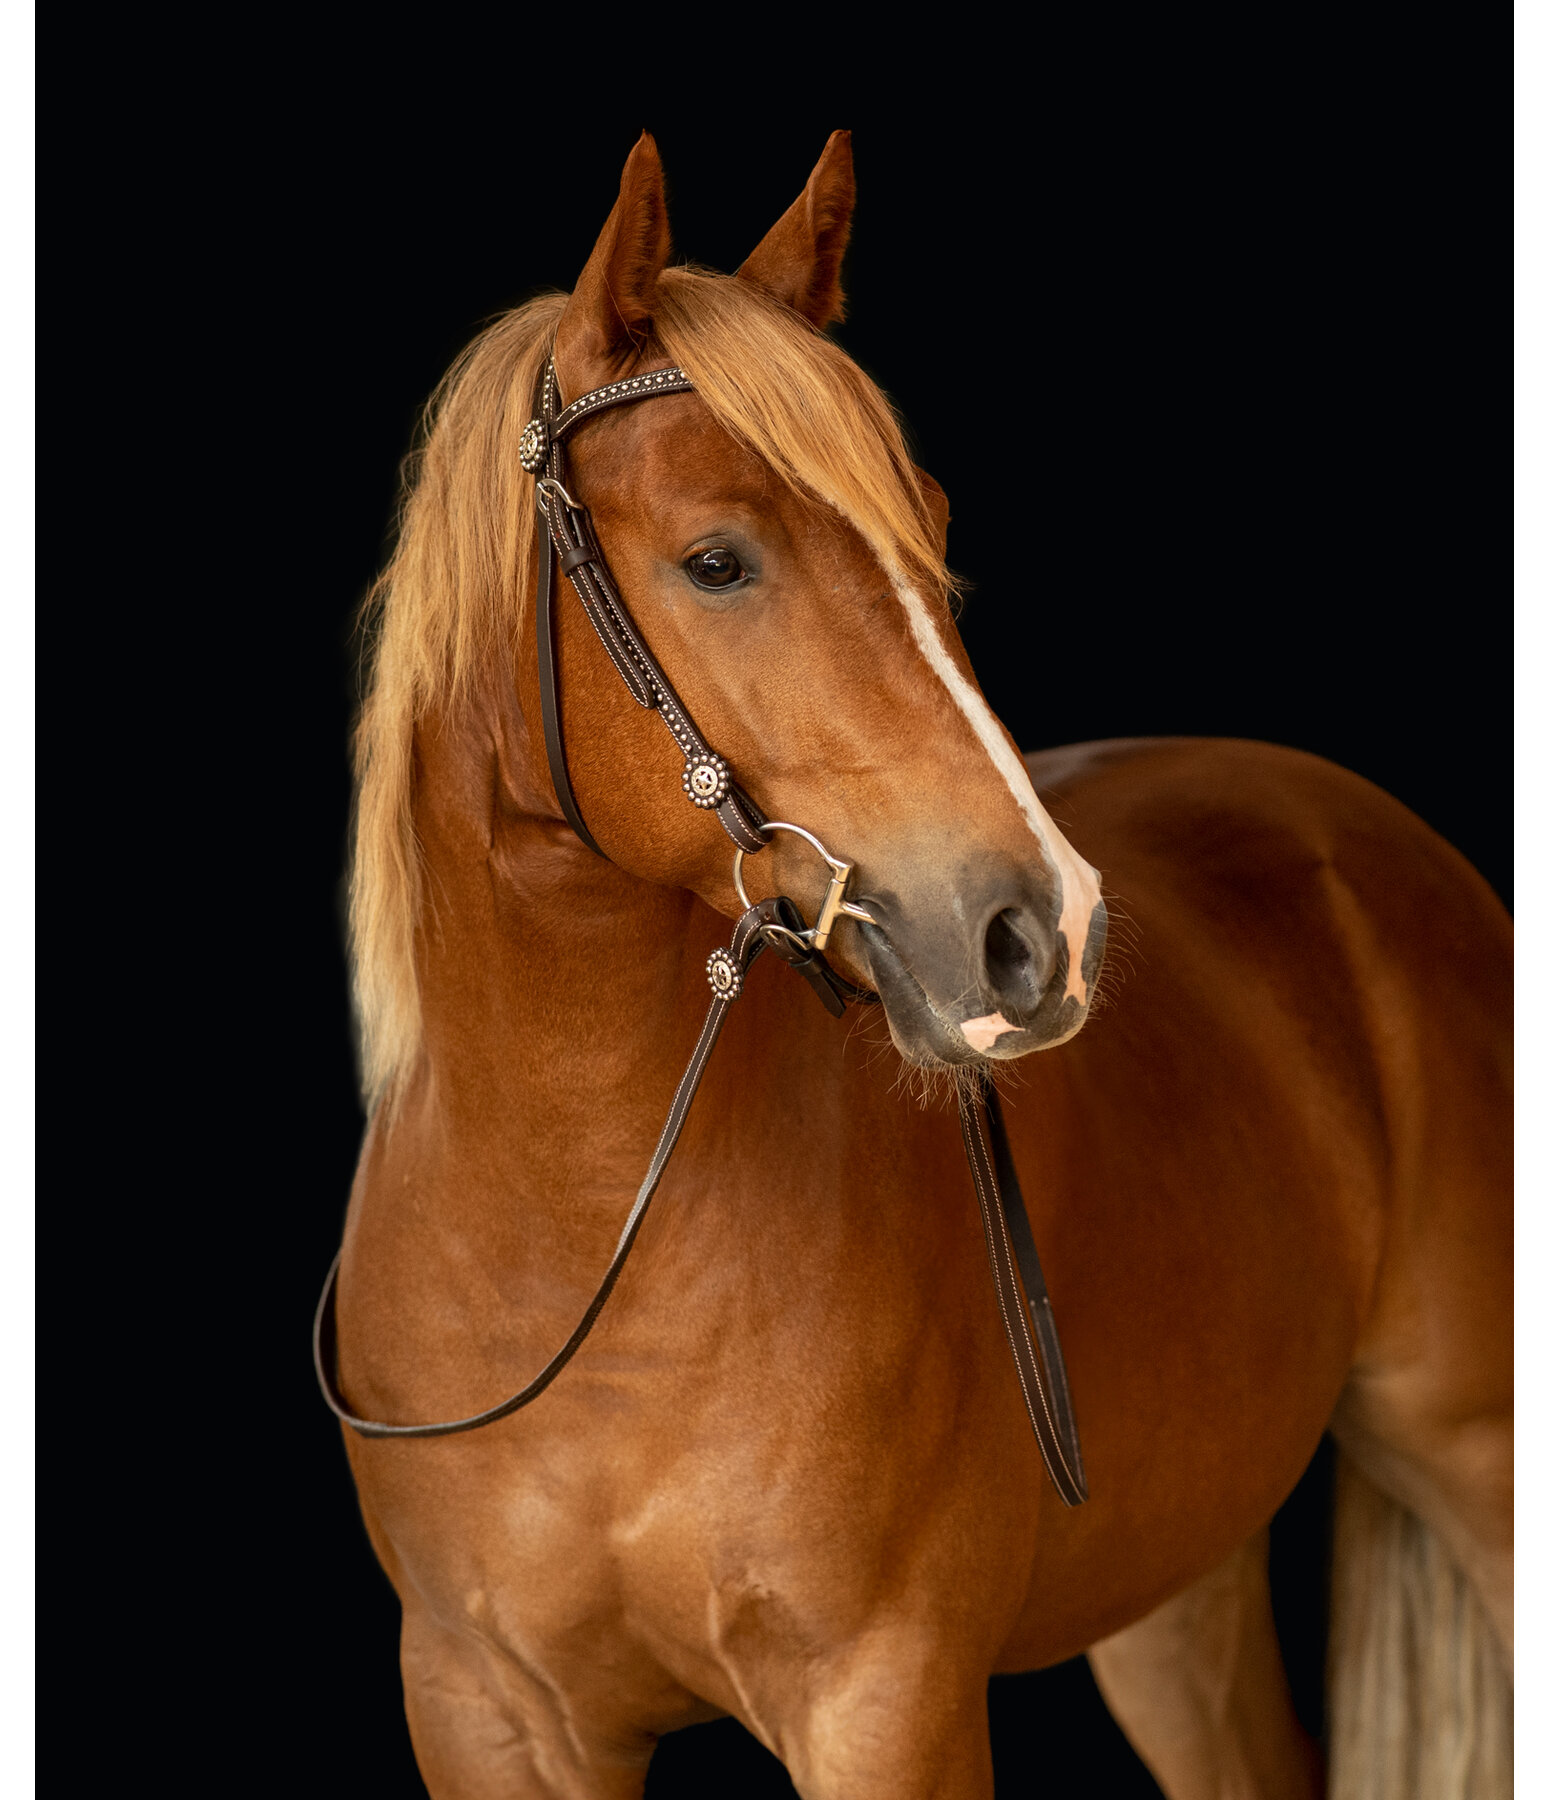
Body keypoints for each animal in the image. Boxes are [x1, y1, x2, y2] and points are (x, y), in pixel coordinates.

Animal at [320, 133, 1504, 1792]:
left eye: (927, 523)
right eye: (715, 560)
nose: (1039, 934)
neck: (573, 1258)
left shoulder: (885, 1699)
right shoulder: (487, 1714)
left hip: (1478, 1466)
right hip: (1174, 1579)